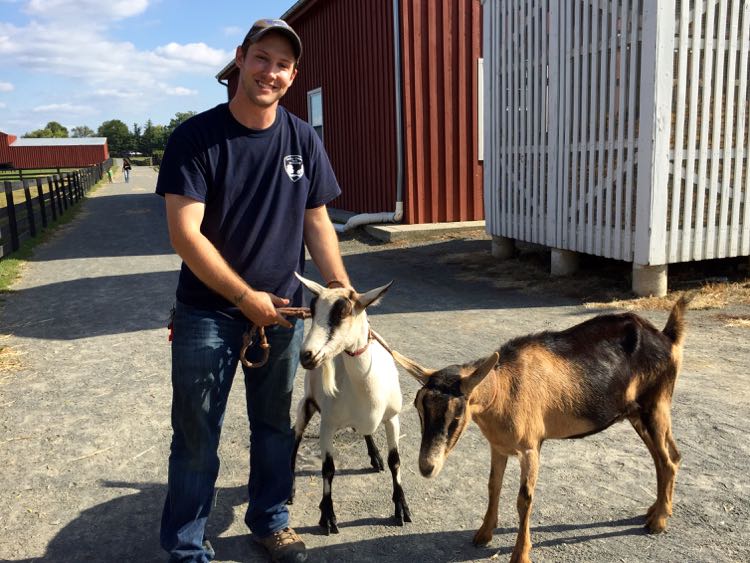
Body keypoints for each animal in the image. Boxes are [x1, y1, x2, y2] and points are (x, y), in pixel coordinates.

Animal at [290, 276, 414, 536]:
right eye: (312, 309)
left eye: (343, 312)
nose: (307, 356)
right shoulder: (327, 424)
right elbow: (328, 469)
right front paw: (327, 516)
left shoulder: (392, 418)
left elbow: (395, 461)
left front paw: (401, 508)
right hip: (305, 406)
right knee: (294, 440)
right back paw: (289, 490)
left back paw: (375, 457)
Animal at [396, 300, 692, 563]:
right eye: (419, 408)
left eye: (457, 415)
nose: (427, 467)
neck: (503, 389)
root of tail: (667, 339)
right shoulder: (498, 446)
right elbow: (493, 485)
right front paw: (483, 535)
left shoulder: (530, 447)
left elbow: (524, 499)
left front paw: (520, 555)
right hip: (637, 413)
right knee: (665, 456)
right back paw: (656, 510)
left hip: (656, 404)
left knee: (668, 460)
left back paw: (659, 521)